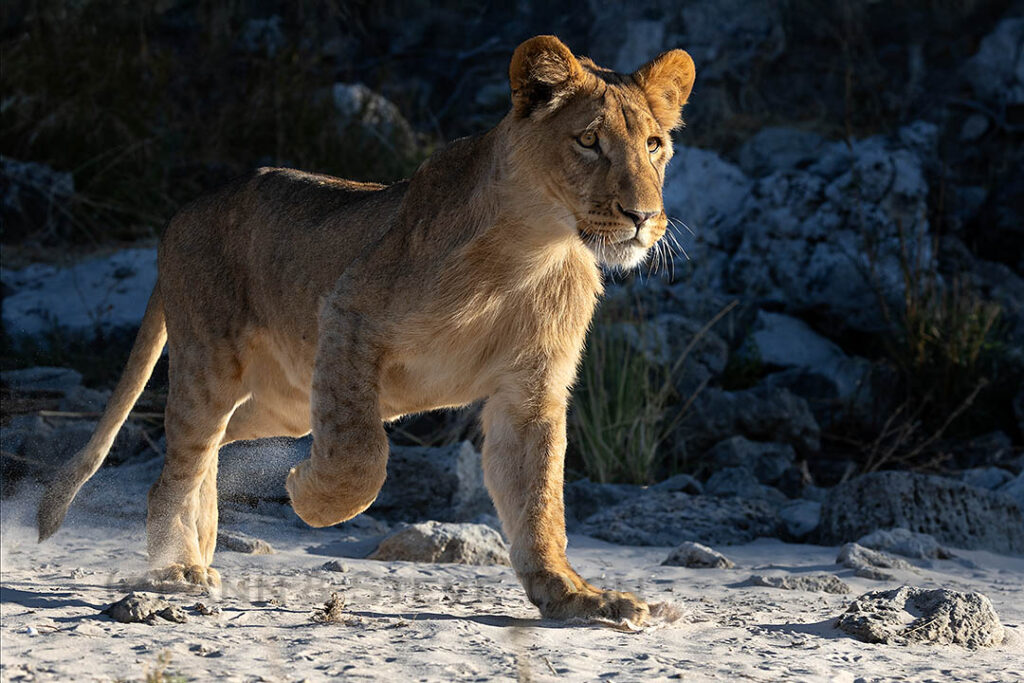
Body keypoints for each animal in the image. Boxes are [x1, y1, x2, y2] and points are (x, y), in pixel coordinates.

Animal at [36, 35, 695, 627]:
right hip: (213, 363)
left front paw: (574, 597)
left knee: (207, 451)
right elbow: (362, 455)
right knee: (180, 460)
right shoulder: (348, 316)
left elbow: (539, 502)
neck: (535, 248)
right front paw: (307, 494)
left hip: (285, 404)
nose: (642, 217)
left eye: (654, 145)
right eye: (588, 141)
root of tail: (180, 215)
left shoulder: (530, 389)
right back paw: (176, 568)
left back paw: (198, 550)